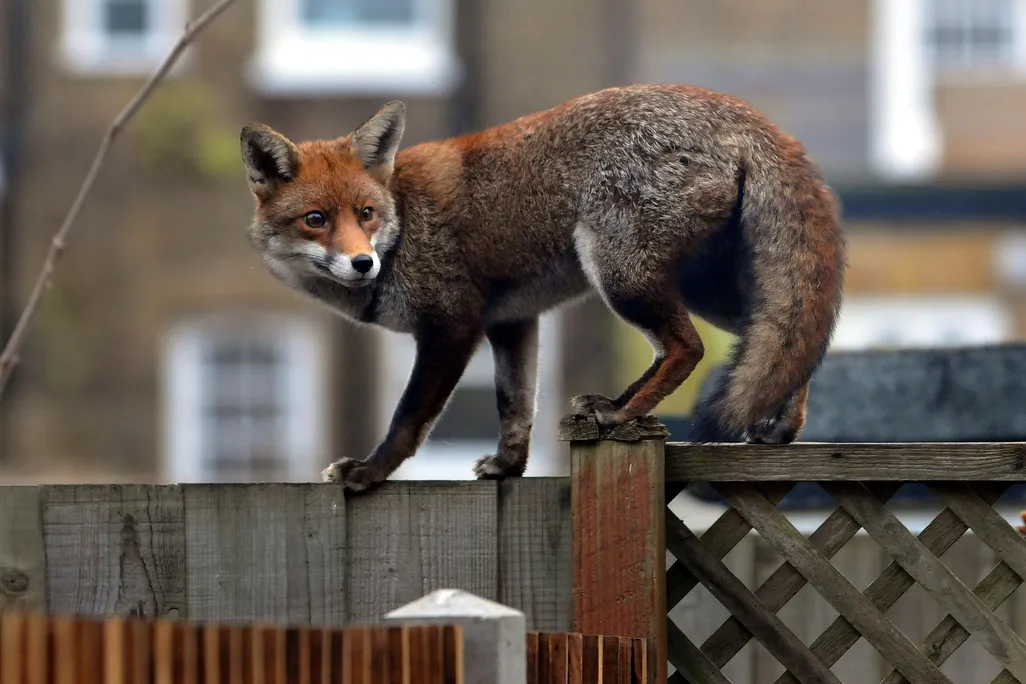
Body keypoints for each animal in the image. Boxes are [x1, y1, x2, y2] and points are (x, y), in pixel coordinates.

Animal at [239, 83, 846, 493]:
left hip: (620, 273)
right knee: (785, 340)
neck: (405, 223)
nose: (362, 263)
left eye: (365, 213)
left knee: (688, 348)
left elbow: (409, 418)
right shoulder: (511, 321)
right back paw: (778, 429)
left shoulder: (452, 324)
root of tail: (736, 109)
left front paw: (369, 472)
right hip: (696, 287)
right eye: (316, 219)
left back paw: (621, 414)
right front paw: (508, 467)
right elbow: (515, 406)